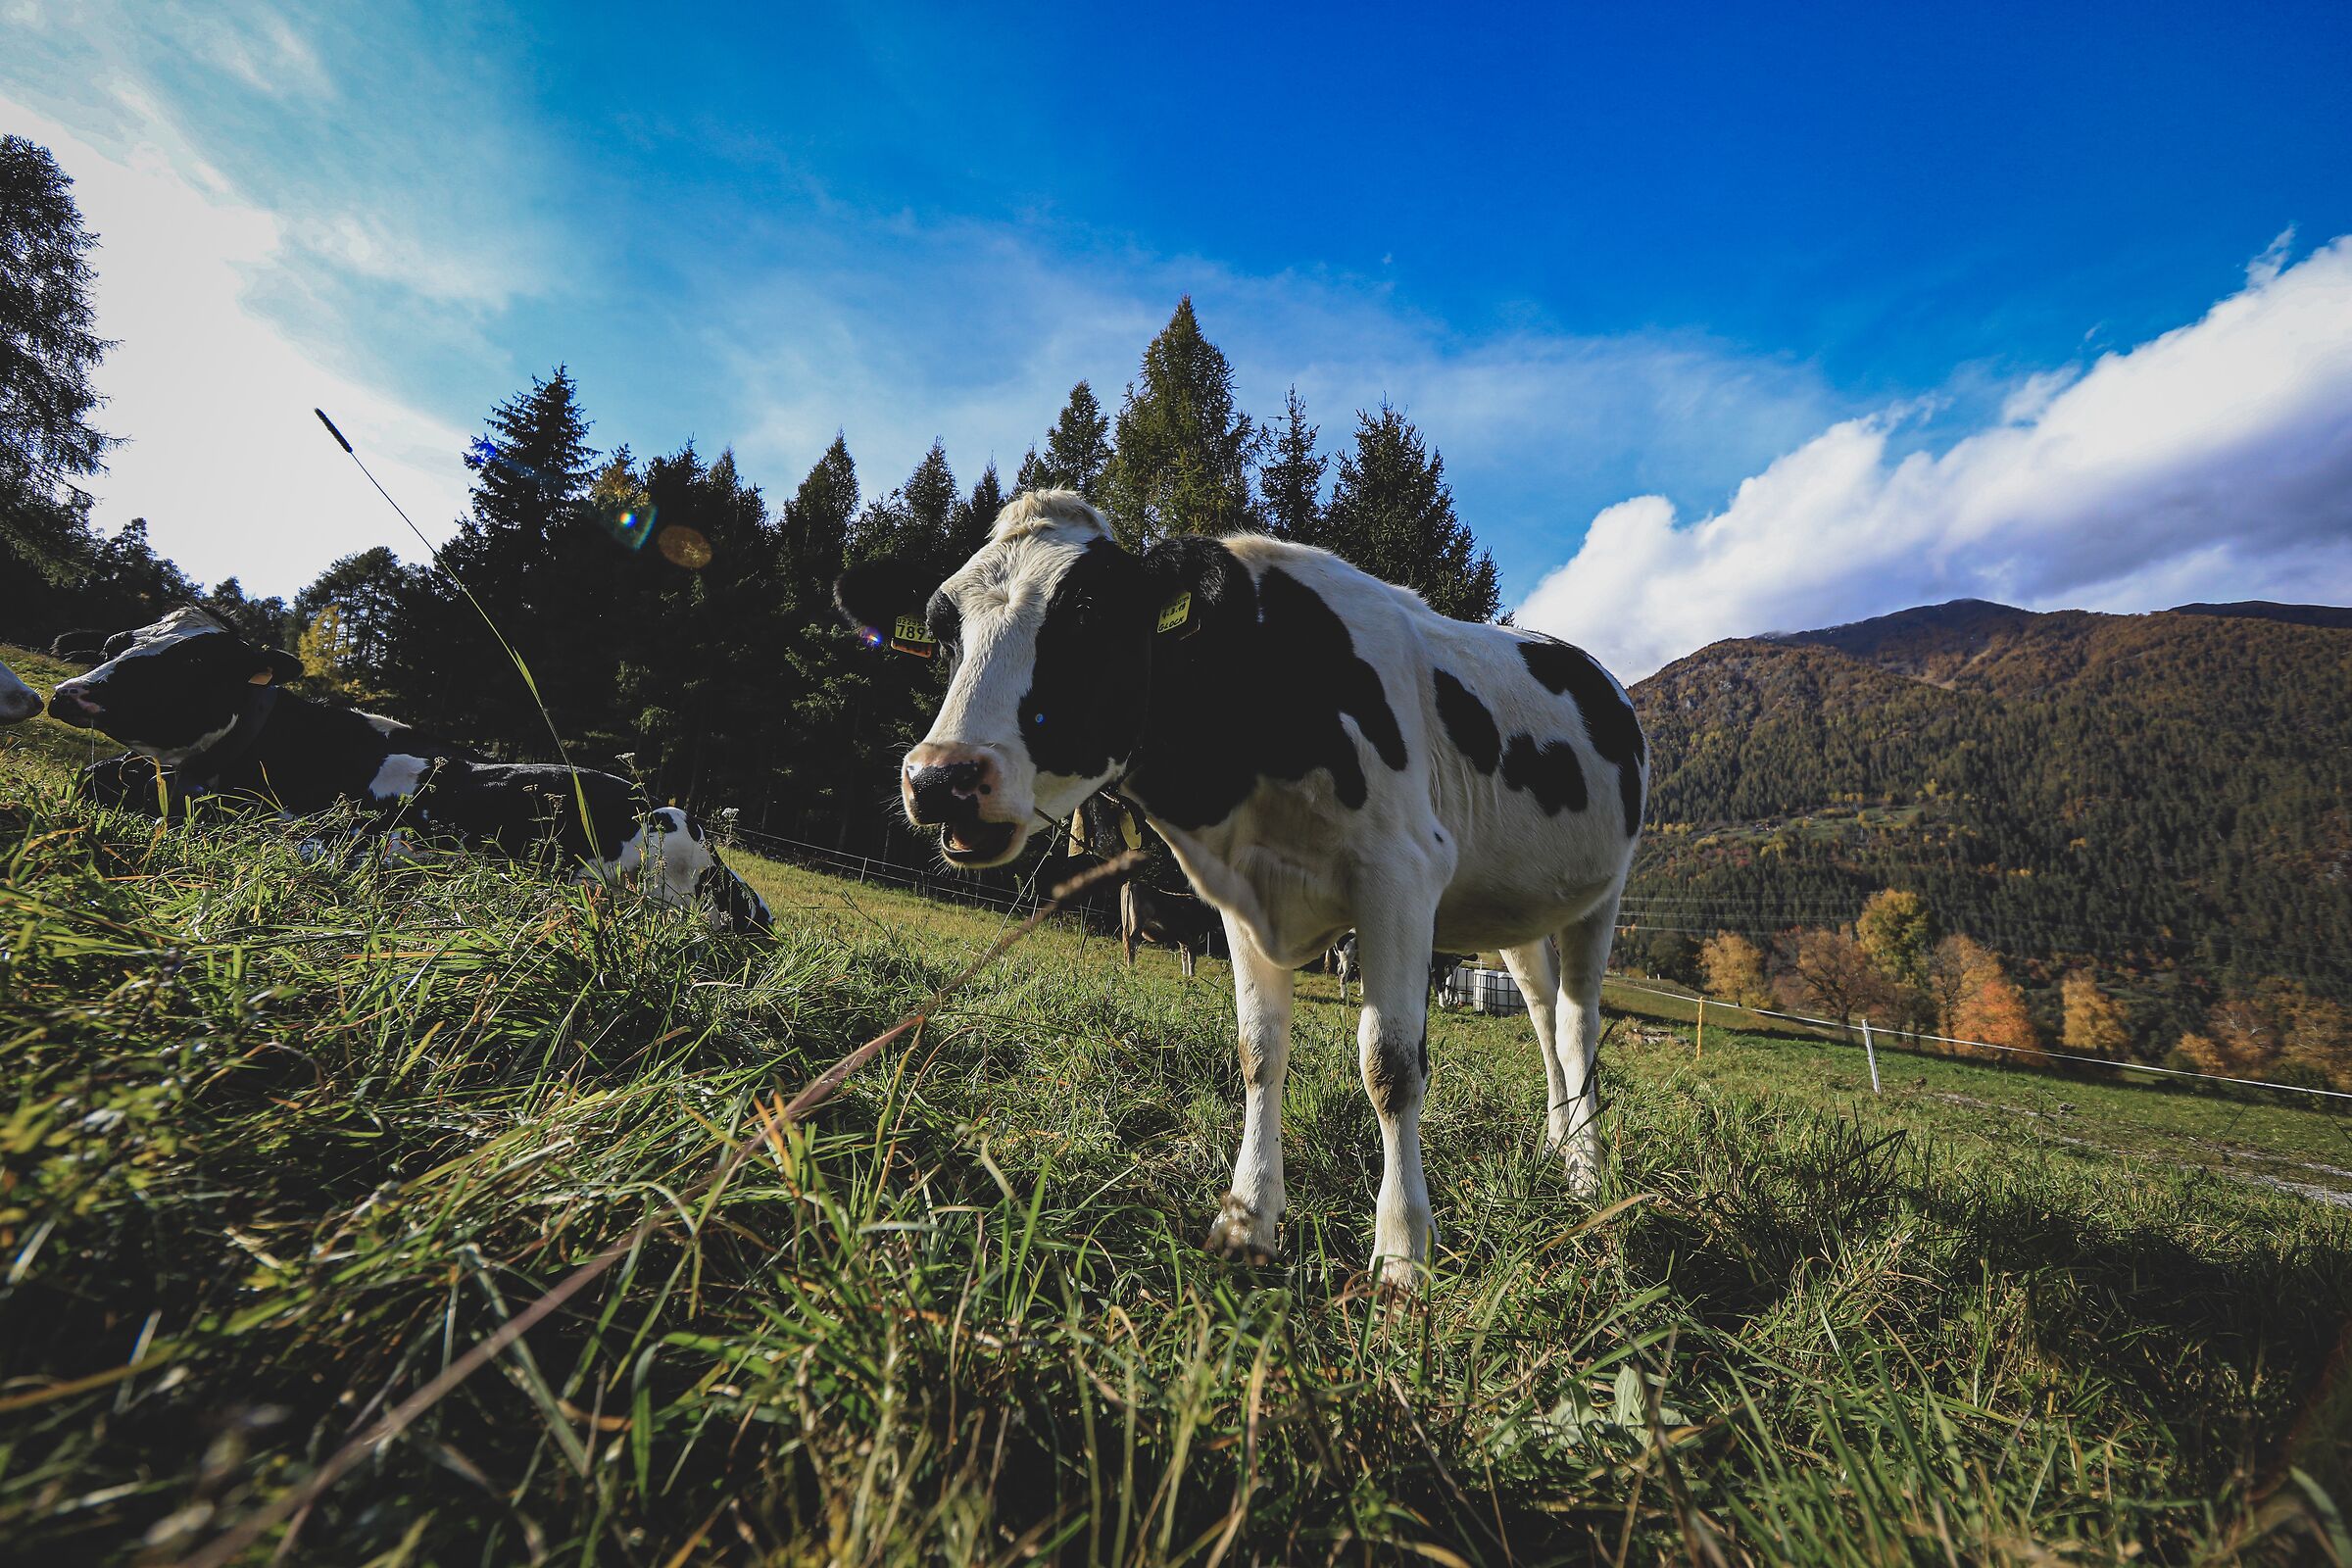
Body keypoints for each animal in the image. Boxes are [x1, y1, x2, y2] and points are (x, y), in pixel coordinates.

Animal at [835, 489, 1647, 1292]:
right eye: (944, 631)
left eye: (1089, 614)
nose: (940, 778)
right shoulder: (1242, 895)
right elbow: (1260, 1050)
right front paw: (1248, 1219)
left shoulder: (1400, 874)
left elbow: (1389, 1067)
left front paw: (1401, 1254)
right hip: (1516, 914)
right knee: (1540, 1015)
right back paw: (1556, 1144)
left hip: (1601, 896)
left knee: (1575, 1025)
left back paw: (1585, 1174)